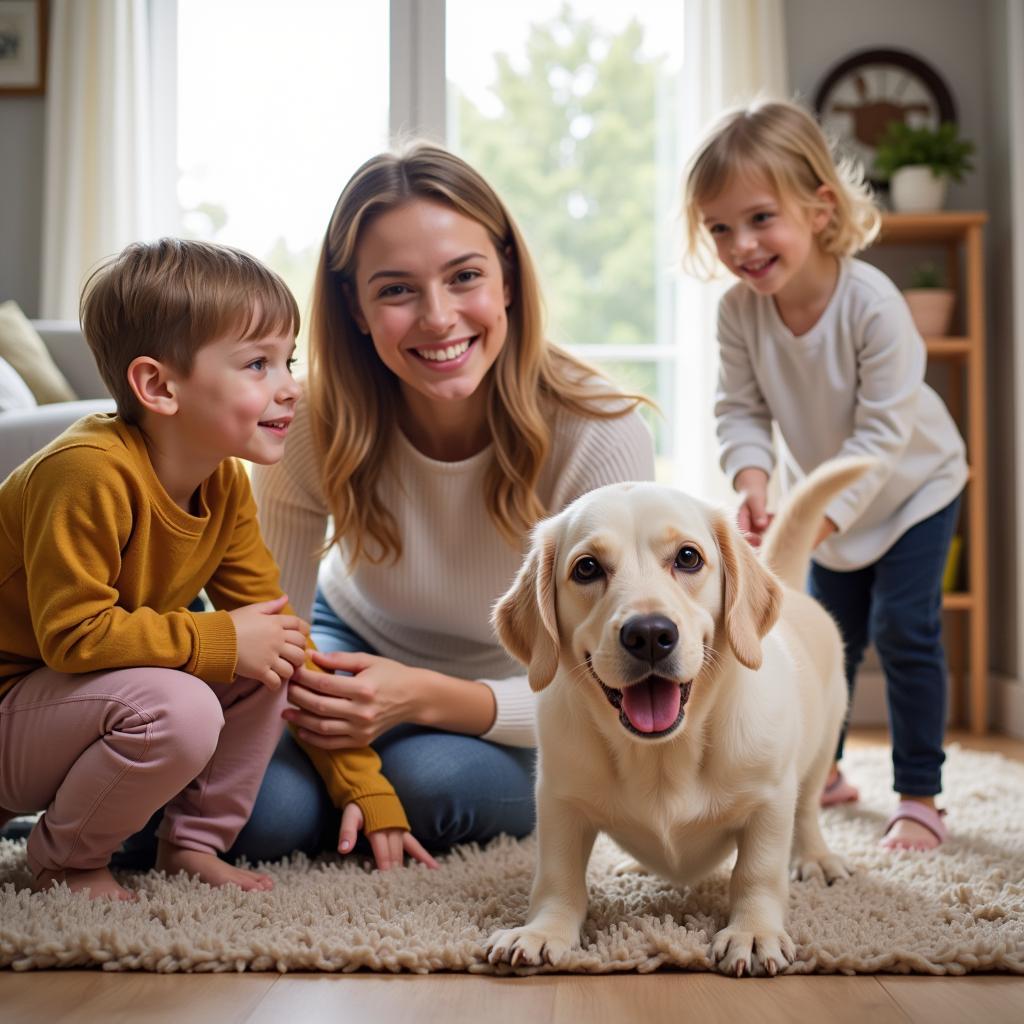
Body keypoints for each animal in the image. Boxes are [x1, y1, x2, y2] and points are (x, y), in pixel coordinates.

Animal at [483, 456, 868, 974]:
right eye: (587, 568)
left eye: (688, 558)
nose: (648, 634)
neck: (663, 753)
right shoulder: (559, 800)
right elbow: (557, 877)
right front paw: (544, 930)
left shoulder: (769, 800)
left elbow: (758, 872)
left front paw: (753, 931)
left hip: (822, 746)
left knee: (806, 812)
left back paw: (816, 858)